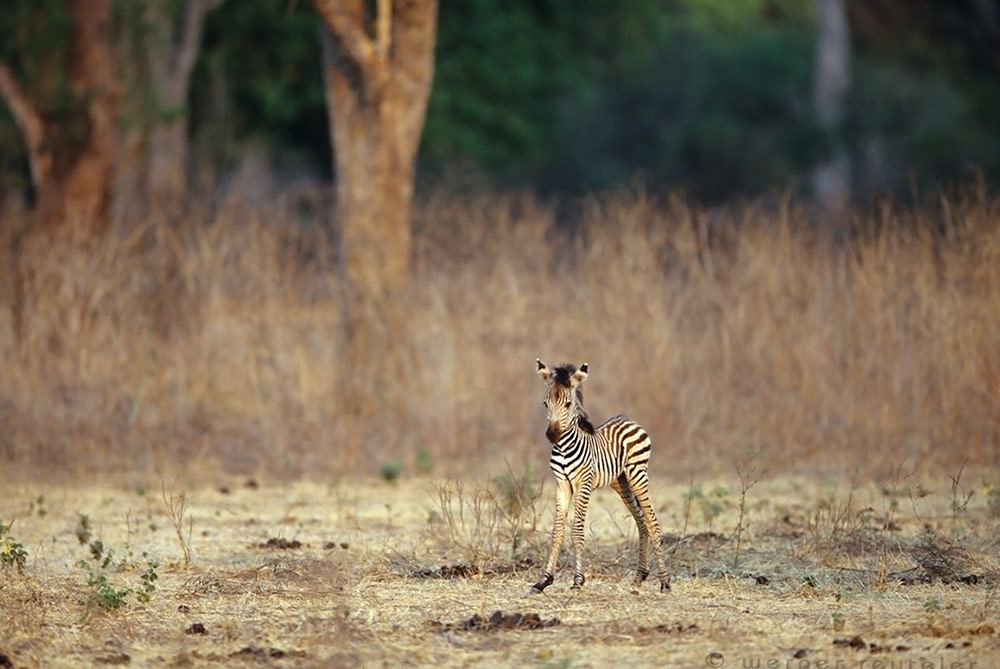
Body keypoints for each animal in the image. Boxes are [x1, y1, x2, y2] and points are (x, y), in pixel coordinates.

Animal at [532, 358, 672, 592]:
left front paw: (577, 581)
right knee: (641, 521)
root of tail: (629, 419)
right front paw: (544, 581)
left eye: (567, 404)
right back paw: (639, 576)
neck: (564, 447)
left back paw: (665, 581)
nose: (552, 435)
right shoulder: (562, 484)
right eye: (545, 404)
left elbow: (577, 530)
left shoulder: (583, 483)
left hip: (637, 474)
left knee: (652, 522)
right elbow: (557, 532)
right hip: (621, 482)